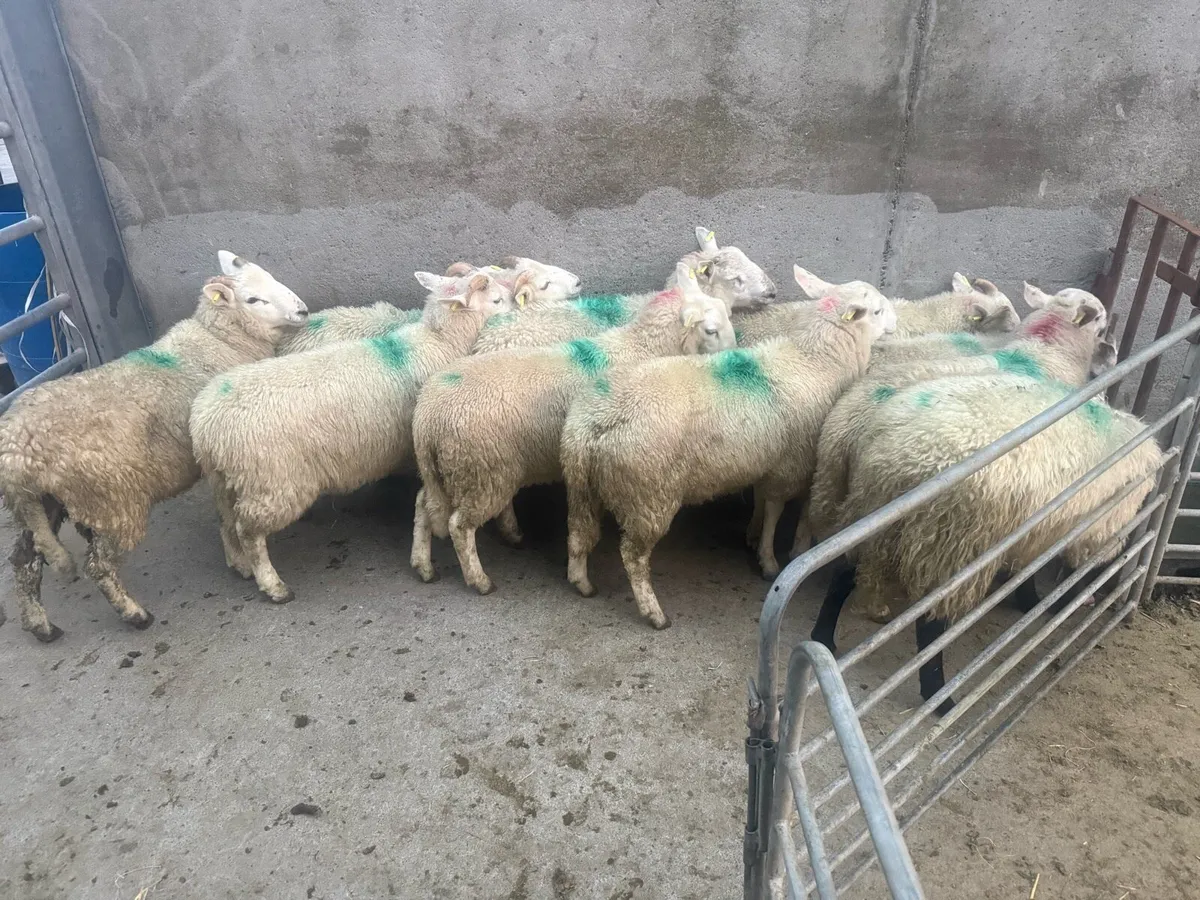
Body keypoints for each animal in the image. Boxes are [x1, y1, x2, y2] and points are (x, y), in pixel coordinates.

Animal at [0, 252, 308, 641]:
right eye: (253, 300)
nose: (302, 311)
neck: (219, 339)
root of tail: (16, 449)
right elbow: (225, 512)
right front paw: (241, 563)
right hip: (110, 502)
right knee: (99, 566)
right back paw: (135, 615)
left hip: (41, 503)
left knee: (23, 559)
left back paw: (41, 626)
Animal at [190, 269, 514, 603]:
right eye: (496, 300)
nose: (518, 305)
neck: (440, 342)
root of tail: (205, 424)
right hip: (272, 484)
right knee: (248, 532)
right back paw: (273, 585)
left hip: (225, 481)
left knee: (226, 521)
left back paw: (240, 565)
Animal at [409, 263, 737, 594]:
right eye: (711, 330)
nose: (737, 355)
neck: (641, 347)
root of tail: (427, 414)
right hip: (481, 470)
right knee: (459, 526)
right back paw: (479, 580)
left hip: (454, 469)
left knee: (424, 503)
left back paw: (424, 565)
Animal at [559, 265, 894, 629]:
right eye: (877, 311)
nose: (895, 323)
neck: (817, 360)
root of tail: (595, 423)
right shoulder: (796, 460)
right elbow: (780, 508)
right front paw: (773, 559)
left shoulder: (769, 457)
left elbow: (762, 500)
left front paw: (755, 535)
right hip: (648, 494)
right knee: (633, 556)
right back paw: (654, 612)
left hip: (582, 486)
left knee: (577, 533)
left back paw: (581, 582)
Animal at [811, 348, 1160, 712]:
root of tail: (886, 458)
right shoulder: (1082, 529)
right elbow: (1066, 573)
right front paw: (1059, 602)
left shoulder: (1030, 530)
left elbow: (1025, 572)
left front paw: (1032, 601)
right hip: (950, 545)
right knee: (930, 626)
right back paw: (940, 697)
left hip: (871, 521)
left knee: (842, 573)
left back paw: (824, 639)